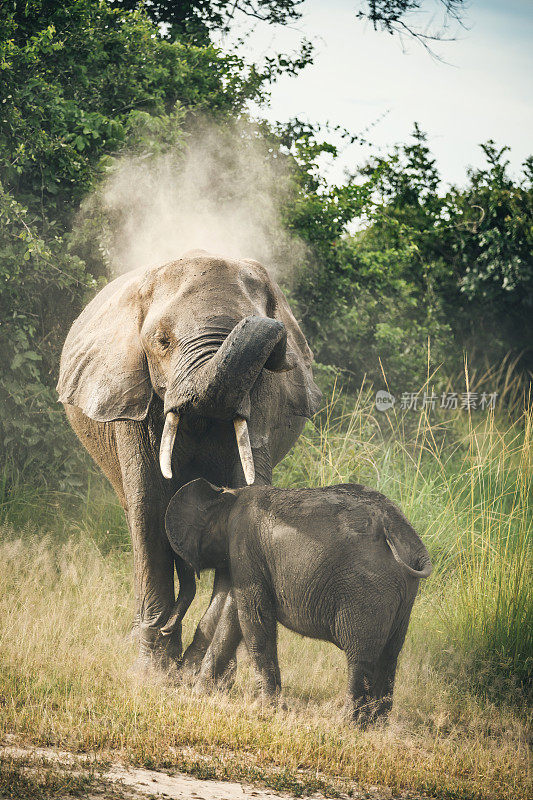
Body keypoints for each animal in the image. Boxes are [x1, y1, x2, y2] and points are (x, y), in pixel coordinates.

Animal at [57, 252, 320, 676]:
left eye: (268, 361)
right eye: (162, 342)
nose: (277, 338)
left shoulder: (263, 402)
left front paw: (200, 675)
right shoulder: (133, 396)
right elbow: (149, 508)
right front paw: (155, 675)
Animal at [164, 482, 430, 724]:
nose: (165, 629)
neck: (230, 492)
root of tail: (405, 535)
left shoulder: (243, 545)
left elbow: (253, 617)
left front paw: (268, 708)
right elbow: (234, 615)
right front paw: (199, 693)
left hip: (367, 586)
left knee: (360, 655)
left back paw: (347, 723)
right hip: (402, 591)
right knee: (390, 654)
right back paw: (376, 725)